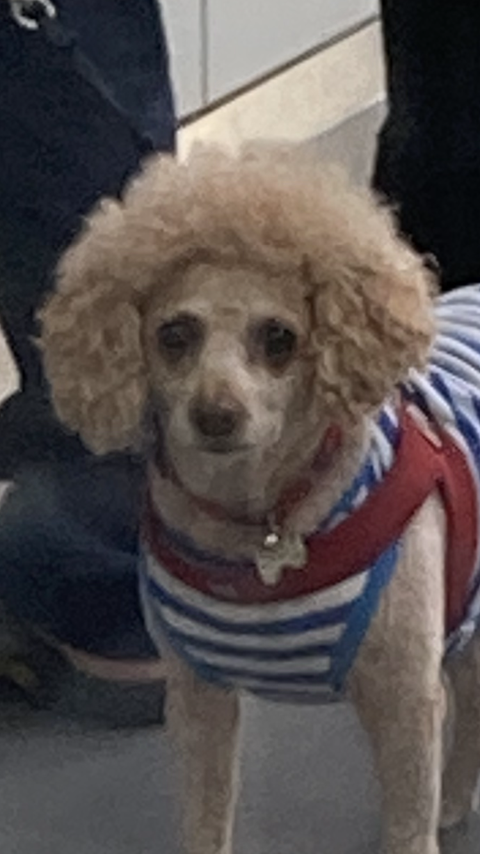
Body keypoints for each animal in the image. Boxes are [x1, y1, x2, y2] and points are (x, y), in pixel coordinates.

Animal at [39, 143, 480, 854]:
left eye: (280, 339)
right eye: (173, 335)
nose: (216, 415)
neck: (260, 525)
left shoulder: (403, 700)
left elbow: (408, 827)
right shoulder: (198, 702)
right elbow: (204, 821)